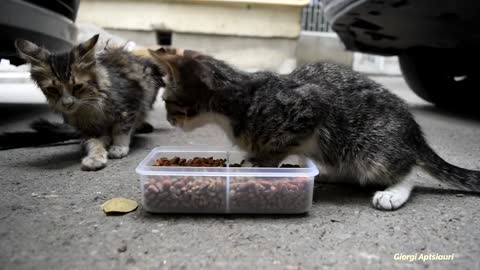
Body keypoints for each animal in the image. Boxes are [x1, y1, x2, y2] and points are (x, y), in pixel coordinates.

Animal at [14, 34, 163, 171]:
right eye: (52, 89)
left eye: (77, 87)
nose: (67, 103)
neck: (89, 107)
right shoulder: (89, 129)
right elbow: (93, 143)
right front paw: (95, 157)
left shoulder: (130, 105)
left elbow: (121, 130)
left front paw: (119, 147)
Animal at [148, 48, 478, 211]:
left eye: (168, 102)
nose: (169, 120)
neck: (241, 101)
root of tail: (415, 134)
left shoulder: (308, 109)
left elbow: (274, 149)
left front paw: (258, 166)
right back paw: (331, 175)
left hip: (372, 148)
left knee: (407, 171)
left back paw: (393, 193)